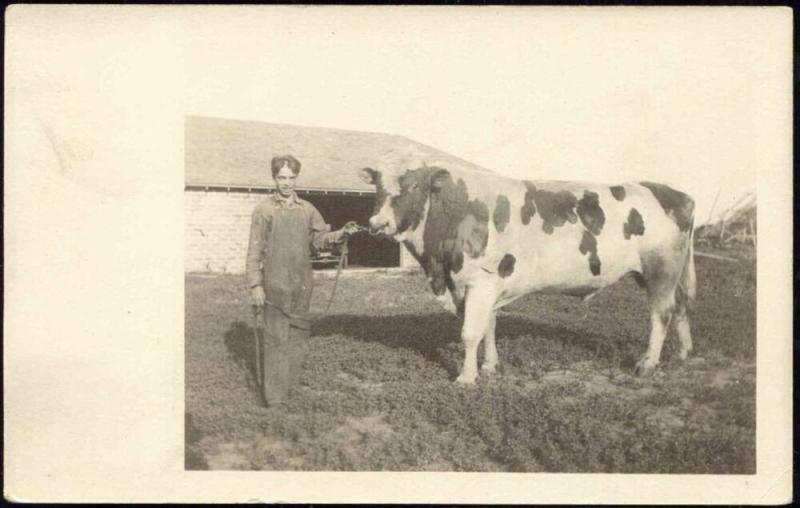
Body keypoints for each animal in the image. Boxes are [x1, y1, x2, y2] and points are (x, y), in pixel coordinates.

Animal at [360, 163, 696, 384]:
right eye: (376, 189)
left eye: (413, 187)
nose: (377, 223)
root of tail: (676, 194)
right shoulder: (487, 285)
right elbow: (489, 327)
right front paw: (489, 366)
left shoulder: (479, 282)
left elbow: (470, 332)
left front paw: (466, 377)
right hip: (669, 272)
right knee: (681, 307)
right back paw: (684, 353)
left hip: (661, 269)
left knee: (662, 313)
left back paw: (647, 364)